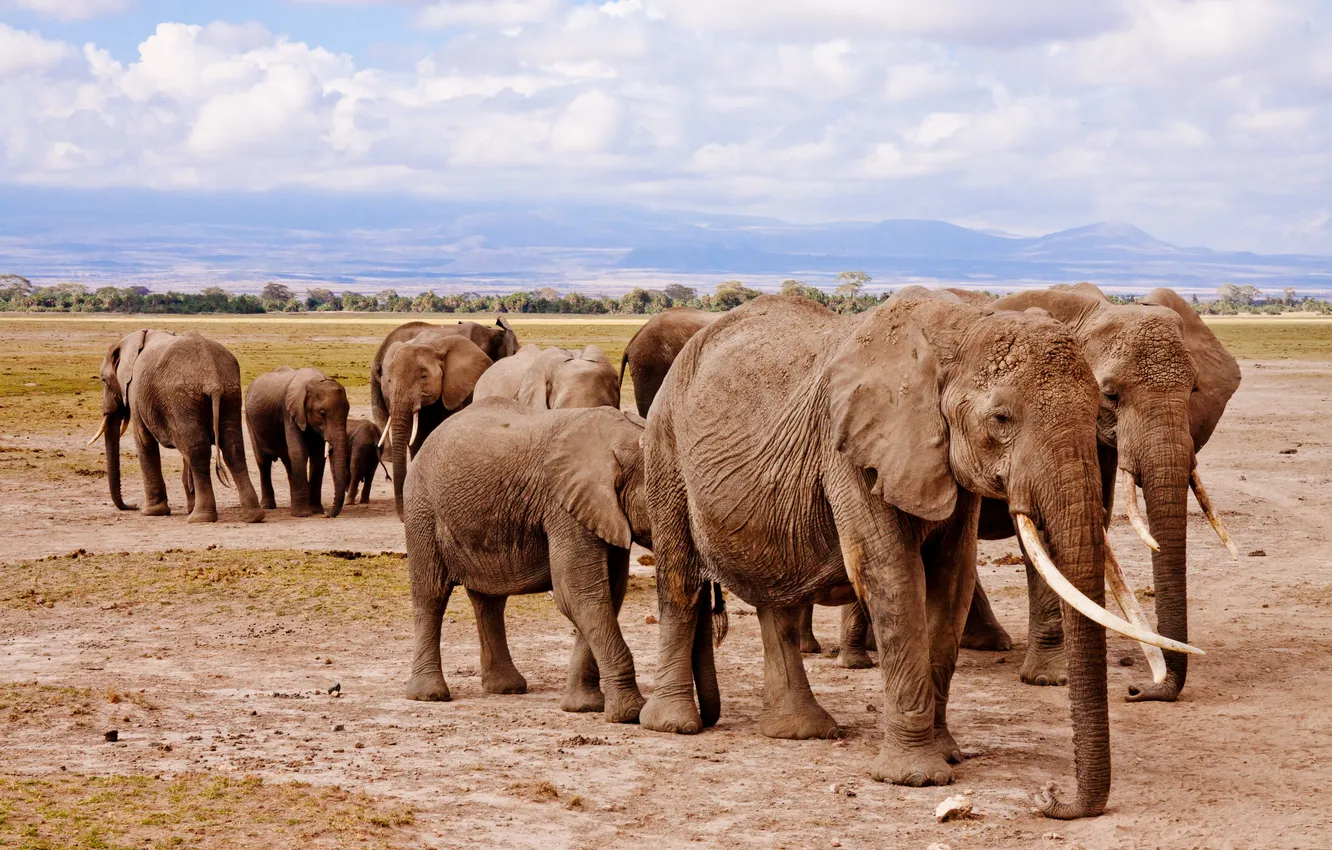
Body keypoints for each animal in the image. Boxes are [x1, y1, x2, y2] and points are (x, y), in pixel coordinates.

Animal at [90, 329, 264, 524]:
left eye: (104, 380)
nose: (132, 506)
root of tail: (212, 378)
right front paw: (188, 506)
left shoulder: (136, 392)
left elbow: (144, 441)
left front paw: (151, 512)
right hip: (230, 393)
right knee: (232, 448)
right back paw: (253, 516)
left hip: (182, 397)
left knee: (198, 451)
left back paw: (200, 518)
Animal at [245, 367, 351, 518]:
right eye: (322, 413)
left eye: (347, 413)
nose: (327, 514)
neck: (314, 381)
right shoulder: (290, 412)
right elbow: (299, 452)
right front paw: (303, 514)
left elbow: (318, 457)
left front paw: (315, 511)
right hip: (250, 420)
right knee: (263, 461)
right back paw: (268, 506)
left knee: (288, 461)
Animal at [381, 333, 494, 519]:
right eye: (389, 380)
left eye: (424, 376)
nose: (402, 516)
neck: (431, 345)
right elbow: (415, 441)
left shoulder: (453, 391)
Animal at [403, 400, 651, 723]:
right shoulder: (564, 507)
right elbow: (579, 594)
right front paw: (630, 713)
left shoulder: (603, 513)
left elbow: (606, 594)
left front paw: (583, 707)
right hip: (422, 508)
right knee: (430, 595)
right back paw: (429, 695)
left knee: (489, 601)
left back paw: (506, 689)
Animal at [638, 294, 1196, 819]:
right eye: (1001, 419)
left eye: (1098, 407)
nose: (1051, 798)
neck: (960, 331)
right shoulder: (852, 450)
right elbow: (892, 576)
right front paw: (916, 778)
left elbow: (952, 581)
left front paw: (947, 753)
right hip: (664, 447)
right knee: (680, 579)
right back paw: (675, 724)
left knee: (776, 597)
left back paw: (799, 731)